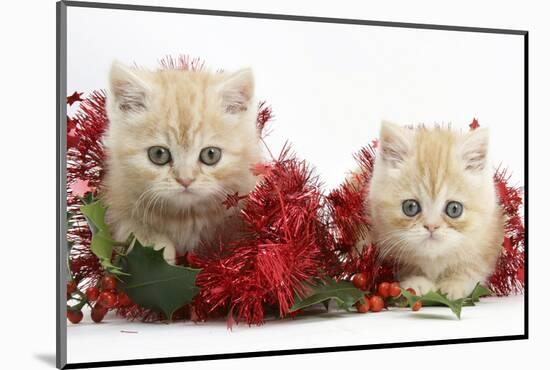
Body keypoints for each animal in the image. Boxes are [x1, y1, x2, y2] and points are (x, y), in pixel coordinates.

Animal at [102, 61, 264, 264]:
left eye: (211, 154)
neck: (185, 217)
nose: (185, 180)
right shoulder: (118, 204)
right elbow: (139, 235)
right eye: (158, 154)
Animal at [368, 122, 506, 300]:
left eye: (454, 209)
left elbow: (473, 267)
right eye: (410, 207)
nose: (431, 226)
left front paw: (455, 284)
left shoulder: (489, 239)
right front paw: (417, 281)